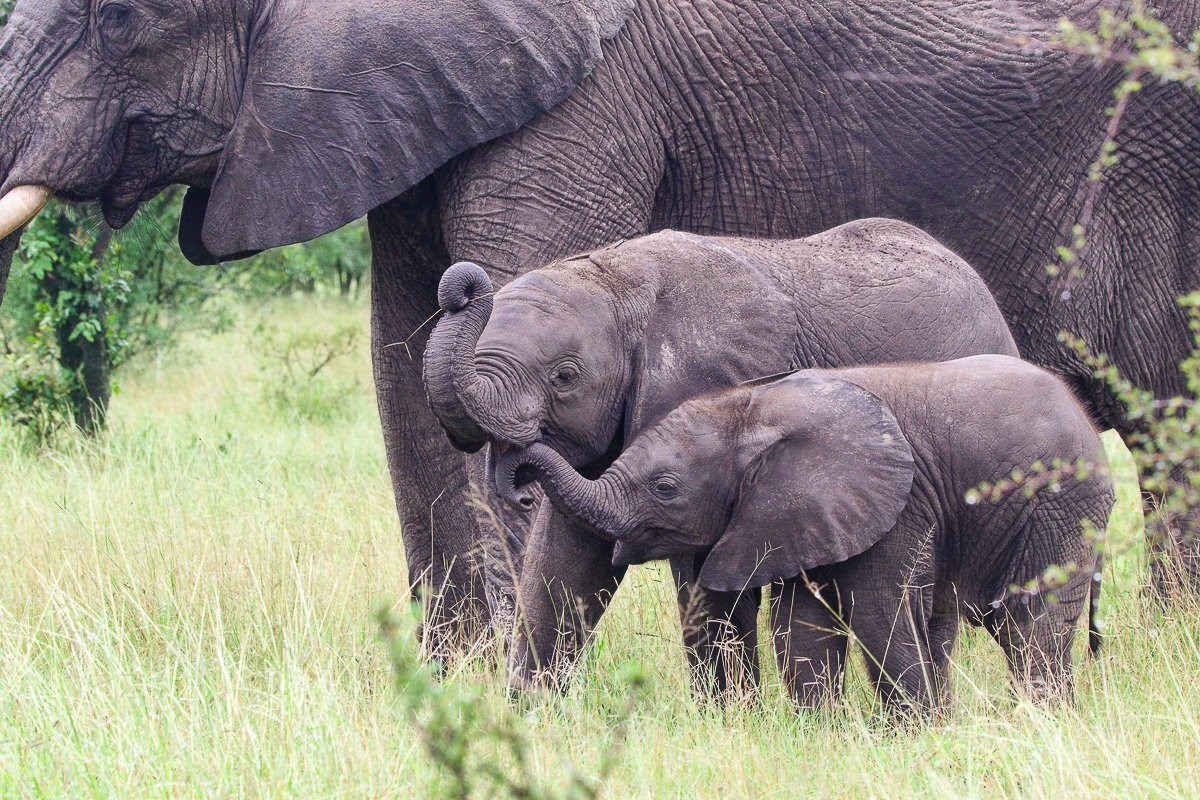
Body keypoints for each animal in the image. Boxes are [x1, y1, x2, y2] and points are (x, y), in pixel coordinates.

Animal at [423, 218, 1020, 694]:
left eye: (564, 378)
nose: (462, 287)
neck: (617, 280)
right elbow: (561, 565)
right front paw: (527, 715)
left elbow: (702, 575)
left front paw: (728, 717)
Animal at [495, 355, 1114, 715]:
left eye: (665, 488)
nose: (518, 471)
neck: (754, 409)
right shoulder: (802, 515)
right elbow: (801, 625)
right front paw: (821, 735)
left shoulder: (897, 505)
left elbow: (880, 615)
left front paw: (911, 738)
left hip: (1060, 506)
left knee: (1032, 623)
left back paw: (1043, 723)